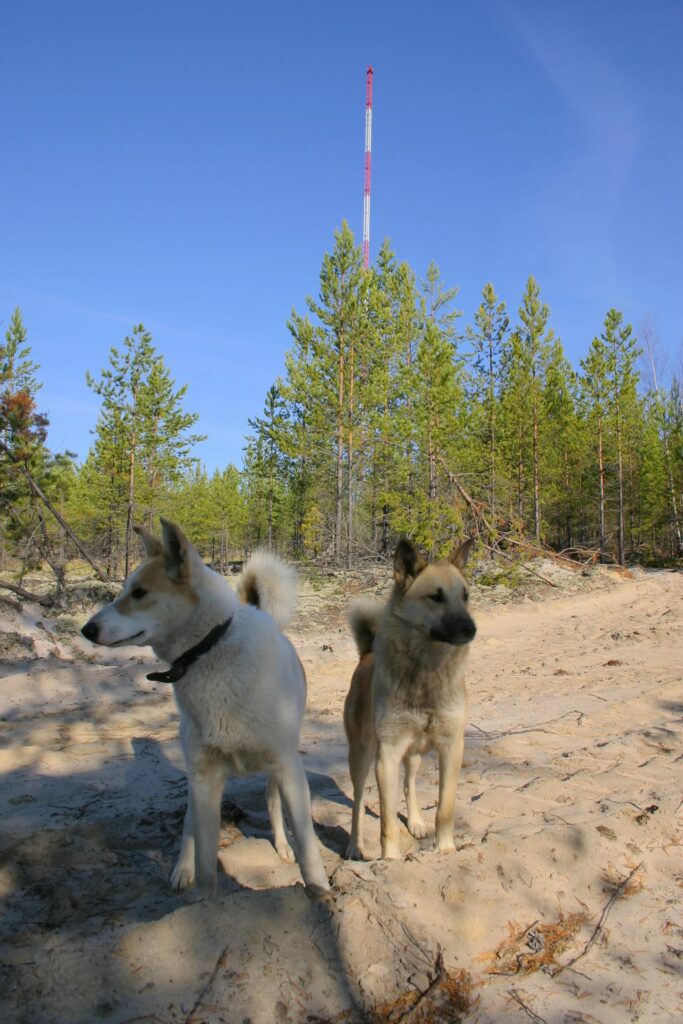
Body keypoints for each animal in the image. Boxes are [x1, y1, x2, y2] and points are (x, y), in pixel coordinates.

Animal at [80, 520, 331, 897]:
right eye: (125, 590)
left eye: (139, 592)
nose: (86, 629)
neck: (209, 650)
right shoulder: (205, 779)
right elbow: (206, 865)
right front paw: (203, 900)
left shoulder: (287, 766)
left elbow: (307, 846)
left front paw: (320, 891)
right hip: (197, 777)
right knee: (189, 825)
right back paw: (181, 870)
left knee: (272, 802)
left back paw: (282, 845)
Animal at [348, 540, 475, 860]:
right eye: (436, 597)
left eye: (465, 596)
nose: (471, 628)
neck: (426, 671)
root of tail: (366, 654)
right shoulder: (387, 754)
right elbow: (387, 819)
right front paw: (391, 860)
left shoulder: (451, 747)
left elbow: (444, 808)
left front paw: (445, 849)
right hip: (361, 756)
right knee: (357, 803)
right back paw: (354, 845)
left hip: (415, 753)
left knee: (409, 785)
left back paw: (416, 821)